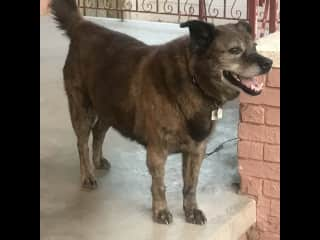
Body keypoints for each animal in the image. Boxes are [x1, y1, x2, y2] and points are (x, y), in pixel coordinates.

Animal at [50, 0, 272, 225]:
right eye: (235, 50)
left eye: (255, 47)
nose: (268, 63)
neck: (193, 79)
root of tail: (82, 26)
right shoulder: (157, 151)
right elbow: (160, 185)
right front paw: (161, 211)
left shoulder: (197, 150)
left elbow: (191, 185)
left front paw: (191, 211)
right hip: (82, 110)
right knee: (82, 143)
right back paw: (87, 175)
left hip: (110, 108)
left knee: (98, 132)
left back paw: (97, 161)